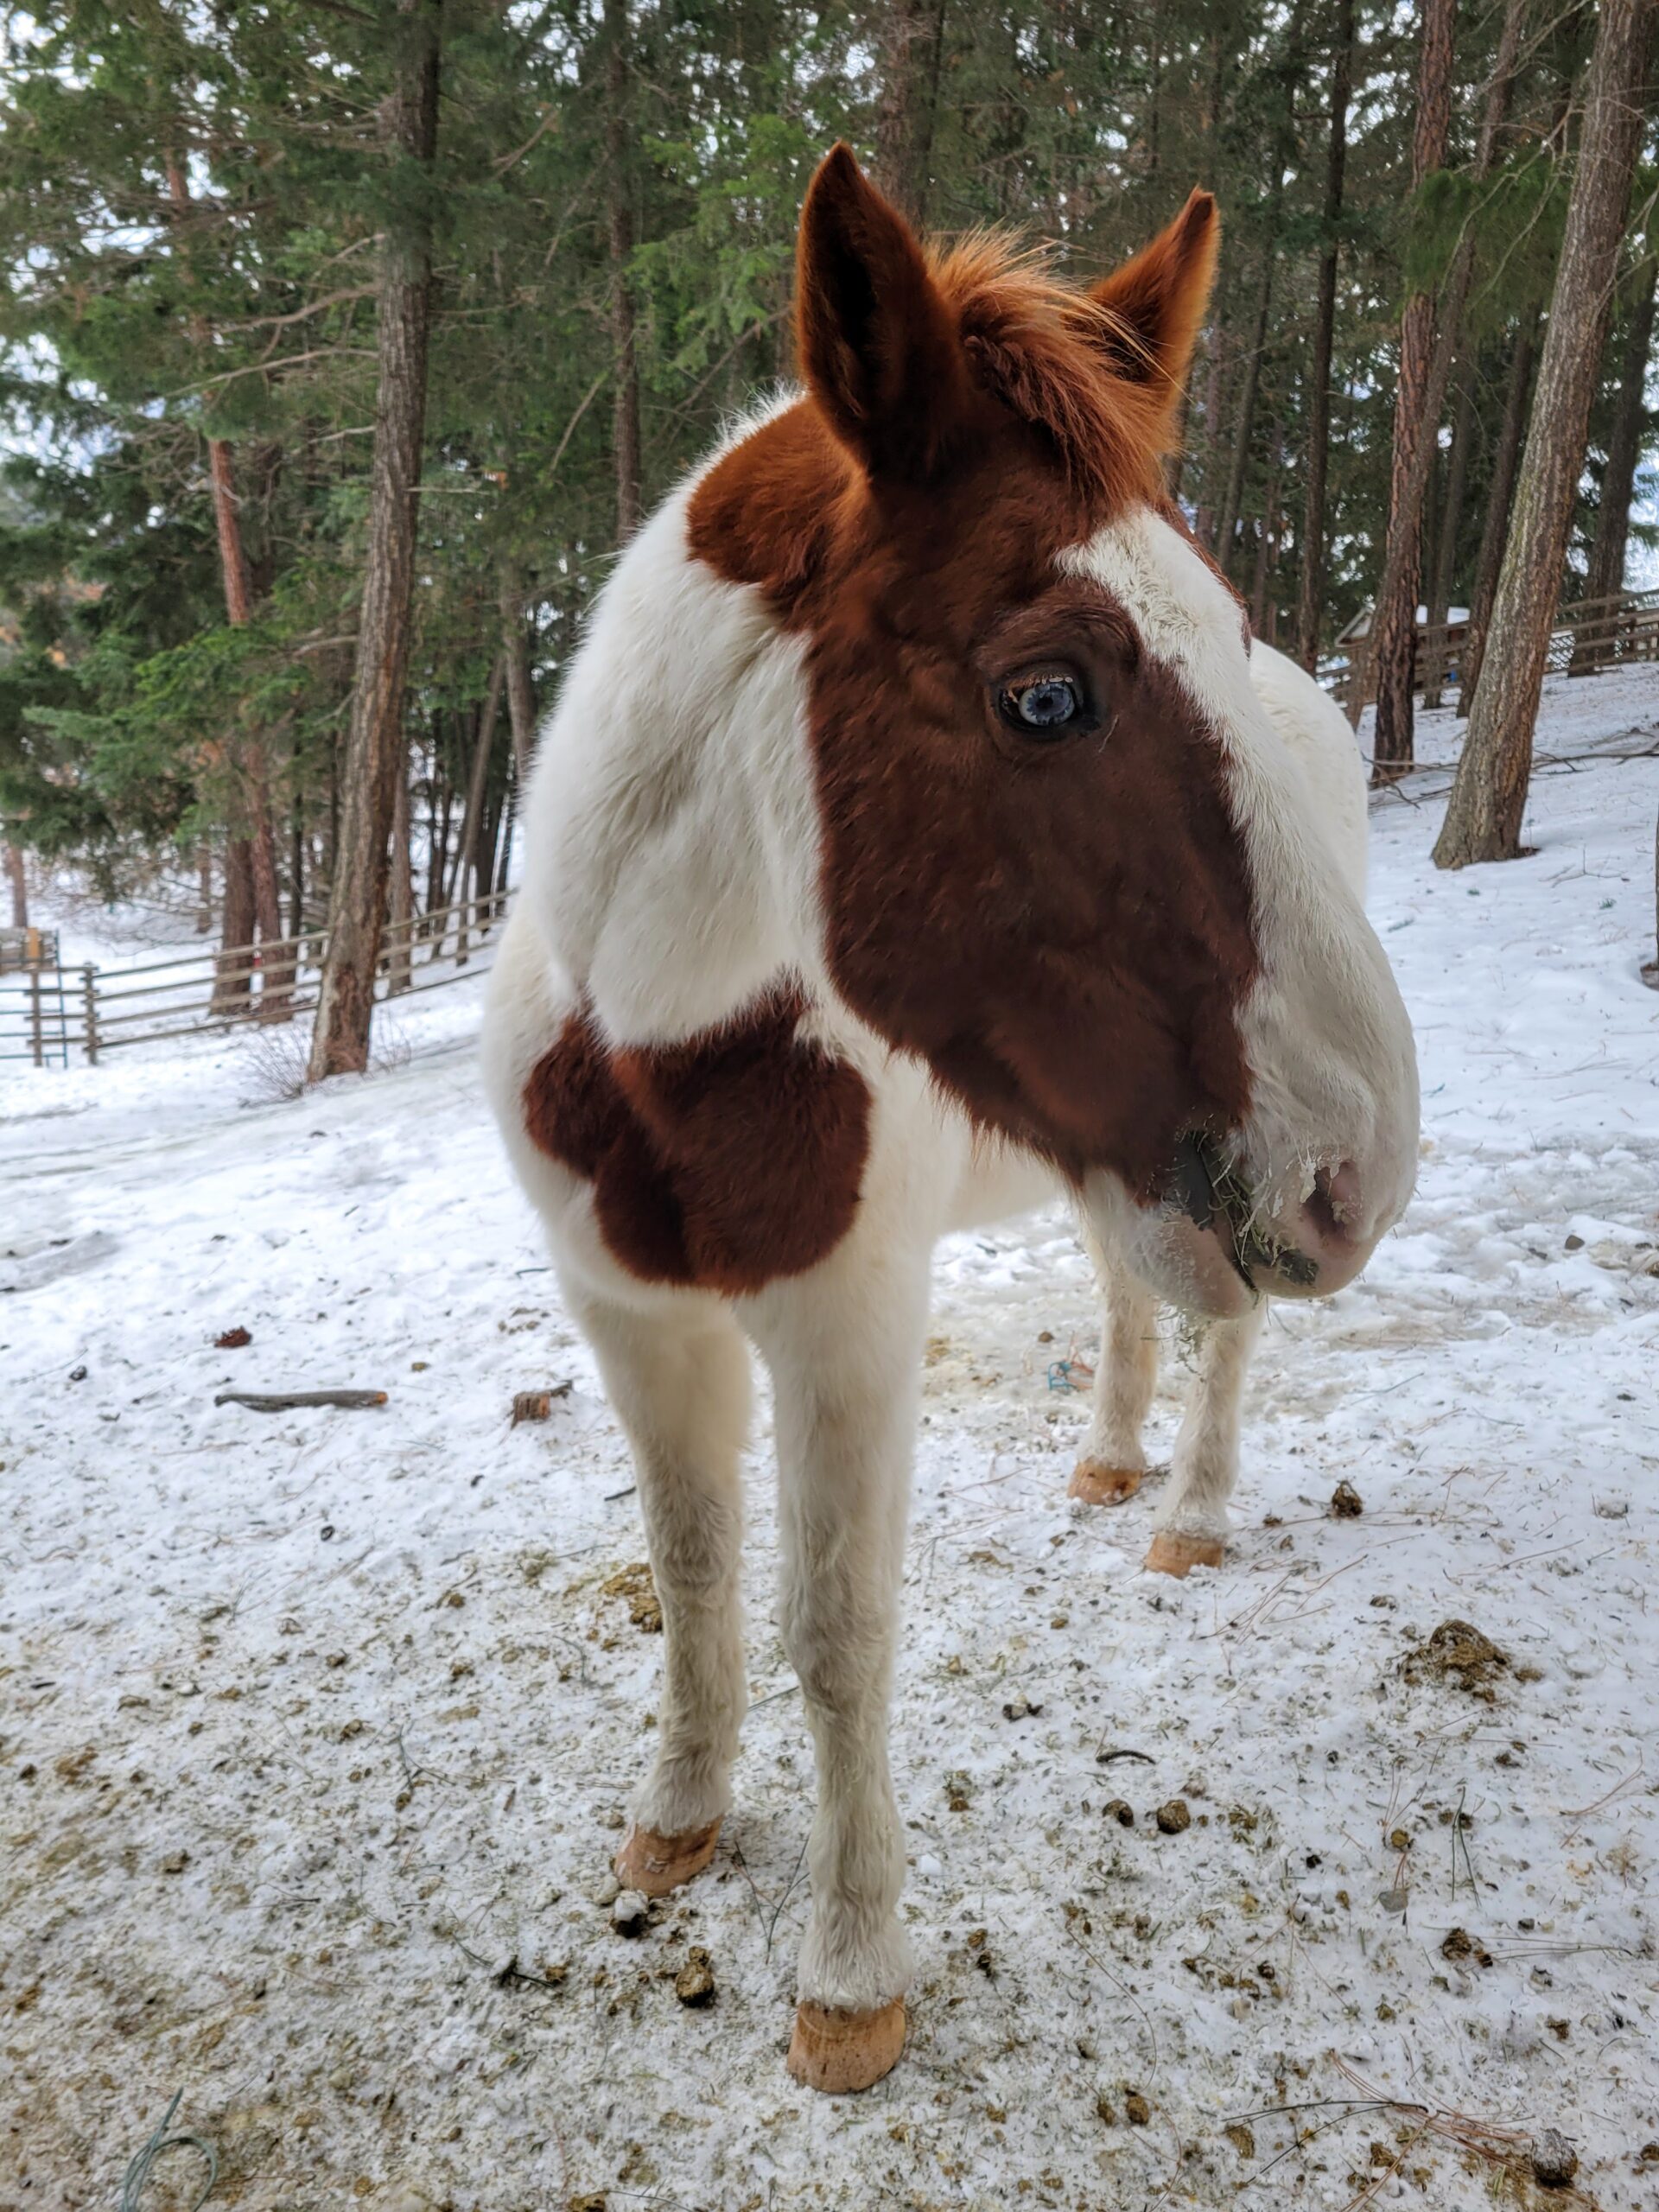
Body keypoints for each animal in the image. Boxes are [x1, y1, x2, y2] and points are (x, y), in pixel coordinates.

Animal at [486, 151, 1424, 2088]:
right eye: (1047, 692)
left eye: (1217, 628)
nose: (1363, 1169)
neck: (659, 1048)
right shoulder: (625, 1313)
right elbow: (693, 1570)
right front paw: (679, 1820)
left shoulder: (843, 1324)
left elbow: (838, 1633)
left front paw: (851, 1978)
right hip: (1127, 1172)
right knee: (1147, 1293)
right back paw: (1114, 1456)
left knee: (1228, 1337)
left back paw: (1189, 1506)